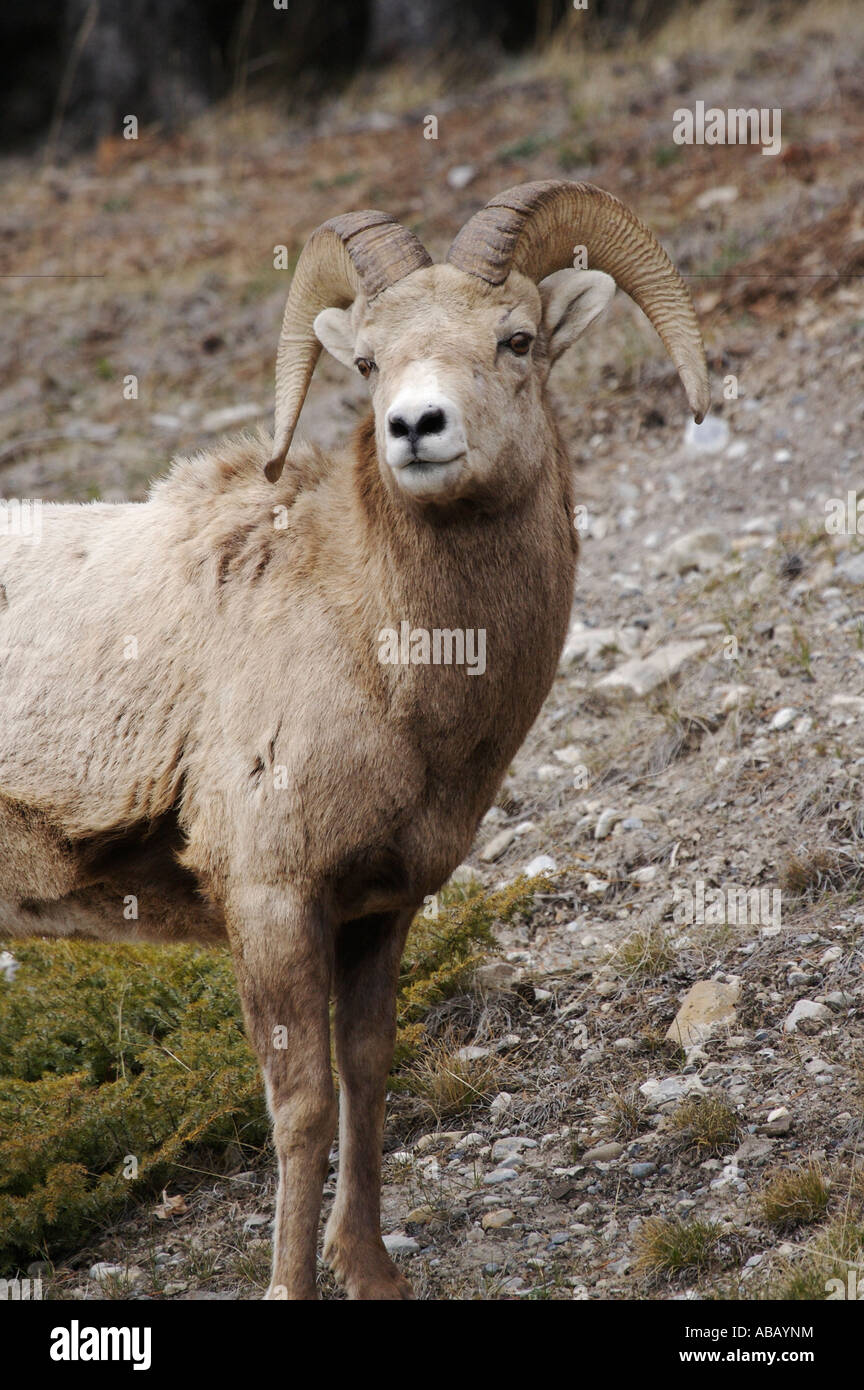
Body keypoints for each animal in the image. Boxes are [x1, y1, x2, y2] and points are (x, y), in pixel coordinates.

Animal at [1, 179, 711, 1295]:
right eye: (369, 362)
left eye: (516, 339)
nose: (416, 427)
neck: (380, 653)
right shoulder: (273, 902)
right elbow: (300, 1110)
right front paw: (293, 1282)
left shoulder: (381, 911)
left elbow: (368, 1077)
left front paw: (371, 1273)